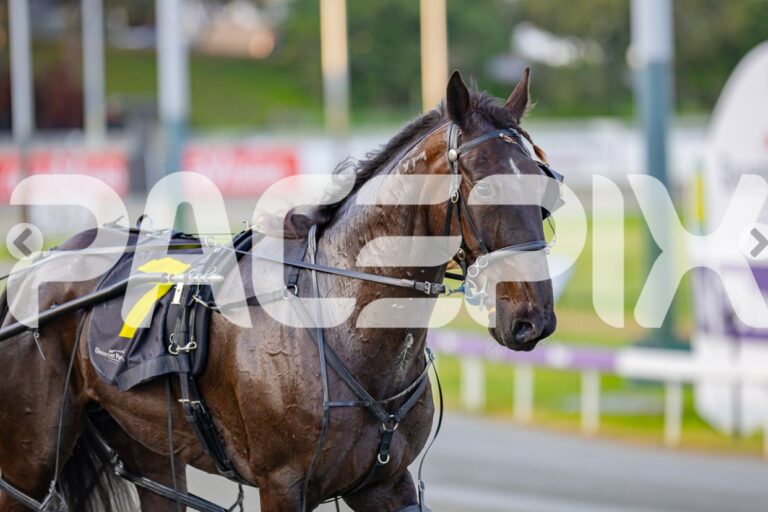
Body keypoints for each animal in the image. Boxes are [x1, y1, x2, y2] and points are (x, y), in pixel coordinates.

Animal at [0, 69, 557, 511]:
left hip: (151, 447)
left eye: (543, 184)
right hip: (28, 465)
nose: (533, 318)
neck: (339, 318)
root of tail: (38, 266)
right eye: (485, 186)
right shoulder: (284, 484)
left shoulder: (388, 483)